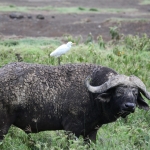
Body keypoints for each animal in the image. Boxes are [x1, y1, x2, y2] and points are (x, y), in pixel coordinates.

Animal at [0, 62, 149, 142]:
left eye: (135, 93)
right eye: (119, 92)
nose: (129, 106)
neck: (91, 95)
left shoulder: (91, 132)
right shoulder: (72, 130)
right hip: (4, 125)